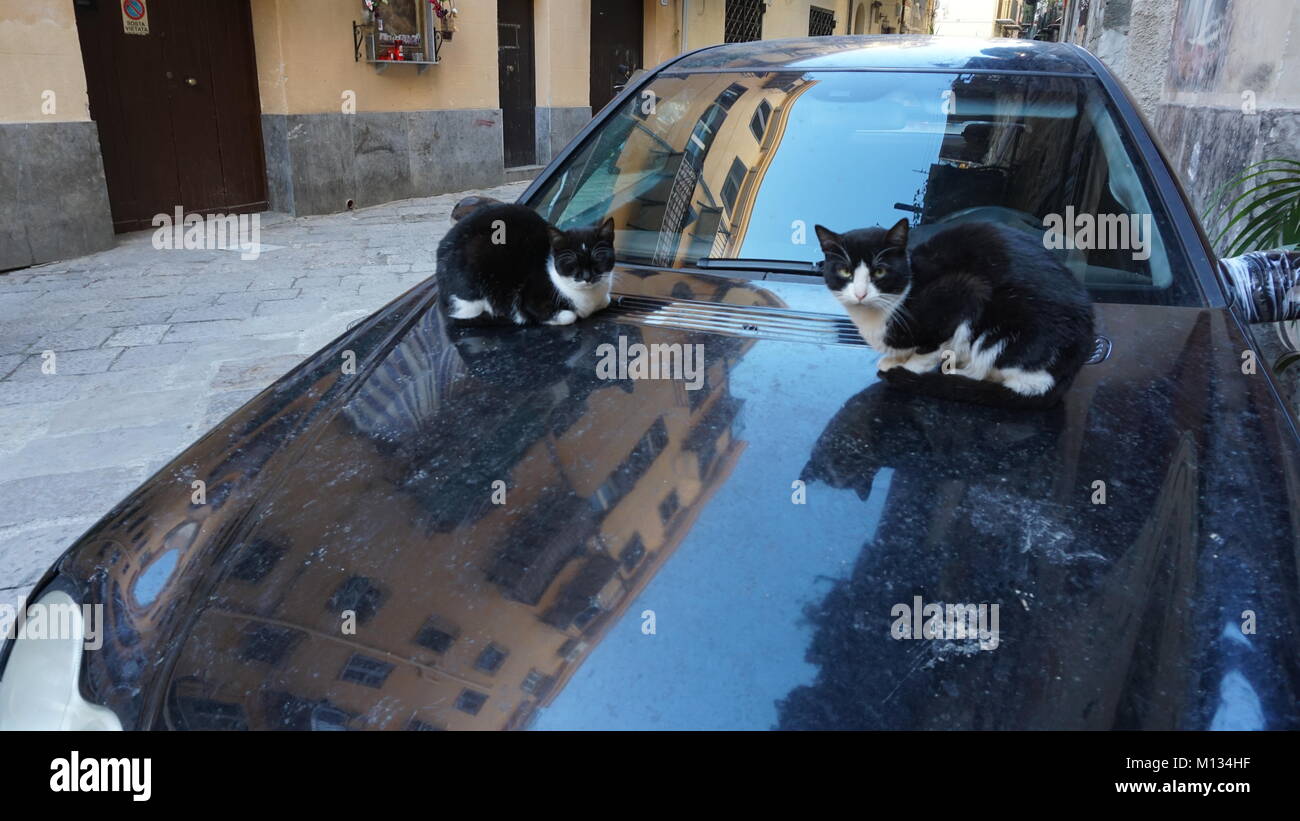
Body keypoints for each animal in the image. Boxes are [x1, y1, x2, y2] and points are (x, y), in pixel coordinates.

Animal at [439, 203, 616, 326]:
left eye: (598, 259)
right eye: (572, 263)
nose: (587, 277)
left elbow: (606, 300)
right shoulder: (531, 300)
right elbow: (568, 316)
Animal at [816, 218, 1092, 410]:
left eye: (879, 272)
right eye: (844, 271)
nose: (860, 294)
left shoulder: (963, 293)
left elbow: (928, 351)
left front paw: (907, 368)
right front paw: (894, 359)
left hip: (1007, 327)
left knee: (1017, 380)